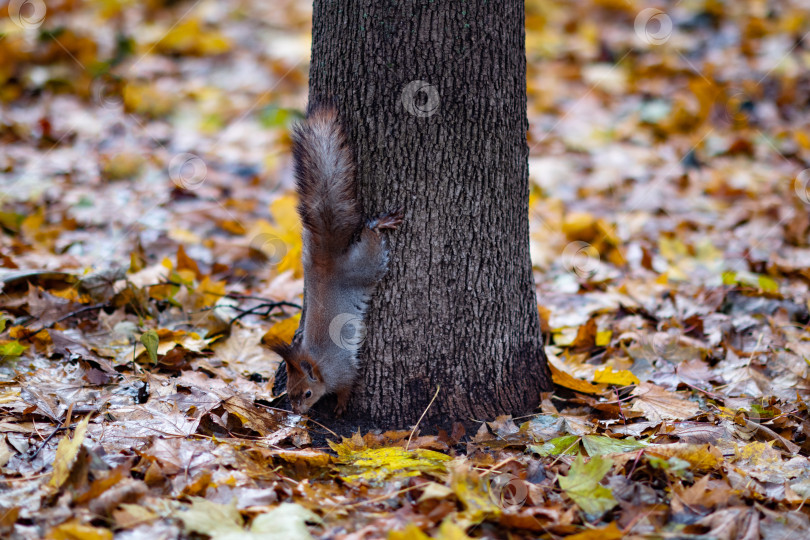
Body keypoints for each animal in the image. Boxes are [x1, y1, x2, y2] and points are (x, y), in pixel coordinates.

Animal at [268, 106, 400, 418]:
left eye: (307, 393)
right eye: (288, 391)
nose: (298, 412)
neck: (318, 365)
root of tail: (326, 260)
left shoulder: (344, 371)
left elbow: (348, 386)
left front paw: (340, 406)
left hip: (366, 266)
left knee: (372, 240)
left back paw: (381, 223)